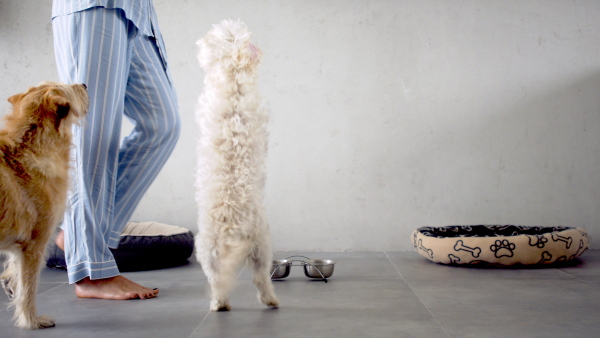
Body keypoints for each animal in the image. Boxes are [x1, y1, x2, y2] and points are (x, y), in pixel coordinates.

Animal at [197, 20, 282, 312]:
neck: (233, 77)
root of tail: (231, 226)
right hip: (261, 244)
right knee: (260, 277)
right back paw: (269, 299)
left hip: (210, 250)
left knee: (219, 281)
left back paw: (220, 304)